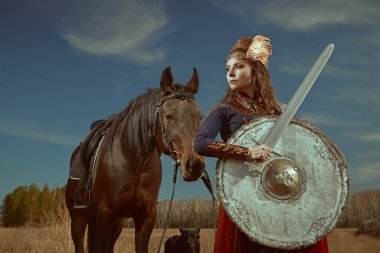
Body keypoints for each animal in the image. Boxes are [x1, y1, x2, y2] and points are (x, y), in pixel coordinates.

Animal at [66, 67, 206, 253]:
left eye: (200, 117)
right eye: (169, 116)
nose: (195, 164)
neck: (133, 159)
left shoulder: (146, 215)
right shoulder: (105, 213)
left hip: (114, 223)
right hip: (79, 220)